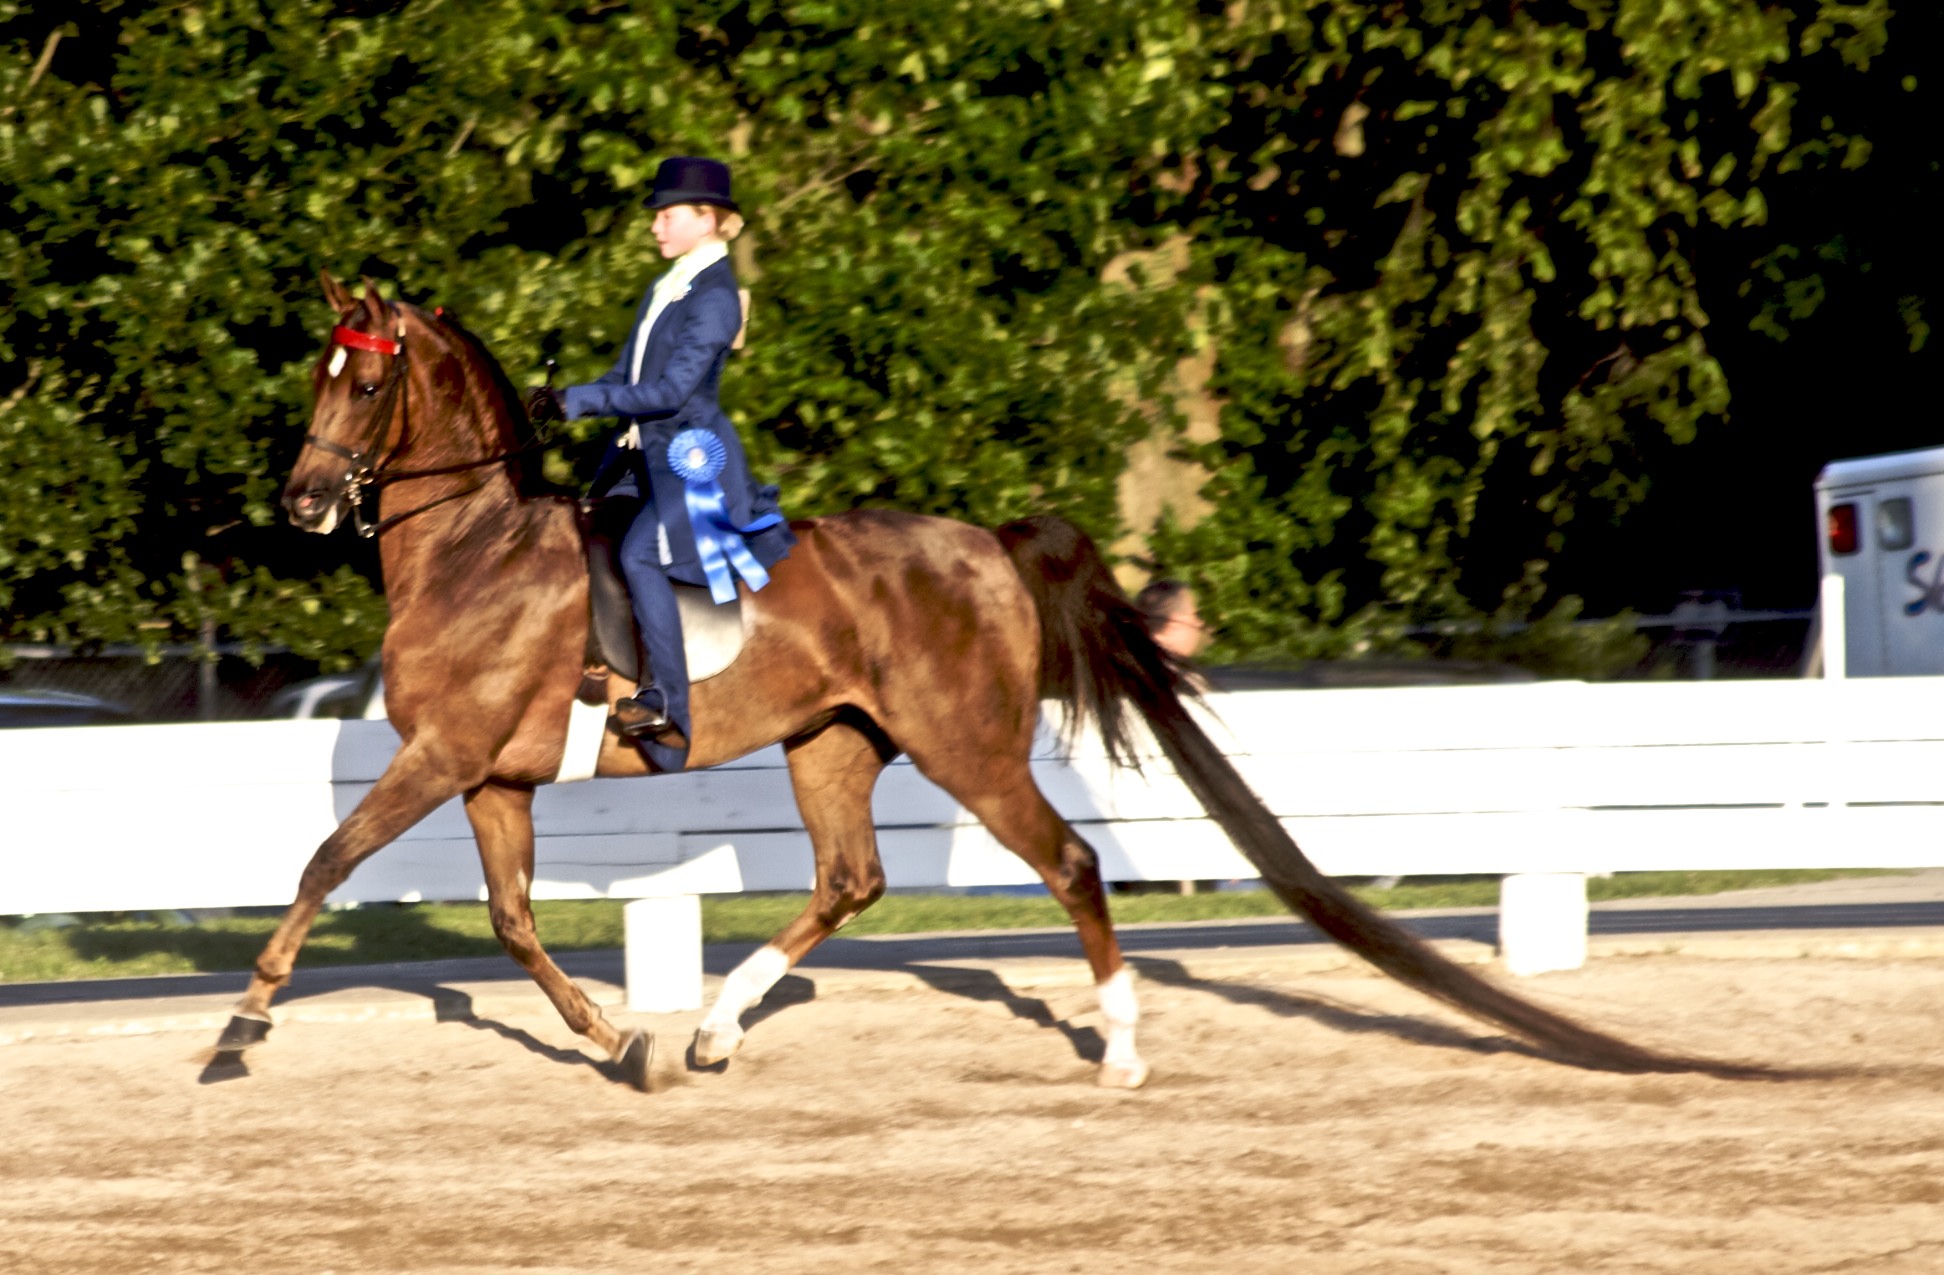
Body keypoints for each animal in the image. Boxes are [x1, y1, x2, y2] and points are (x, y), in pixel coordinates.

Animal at [216, 274, 1749, 1088]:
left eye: (364, 385)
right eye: (318, 377)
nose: (302, 501)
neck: (471, 546)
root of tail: (990, 545)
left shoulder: (442, 758)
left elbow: (324, 859)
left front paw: (239, 1025)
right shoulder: (492, 773)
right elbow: (516, 921)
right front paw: (616, 1039)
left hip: (967, 746)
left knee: (1067, 861)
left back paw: (1119, 1046)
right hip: (835, 739)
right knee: (848, 878)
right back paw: (708, 1029)